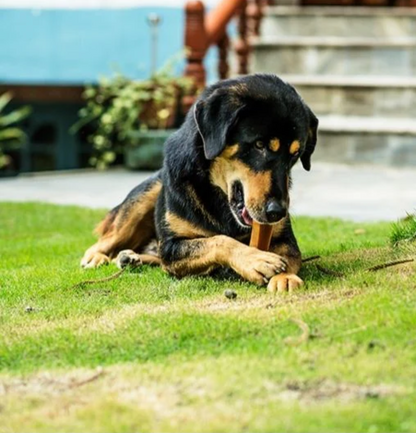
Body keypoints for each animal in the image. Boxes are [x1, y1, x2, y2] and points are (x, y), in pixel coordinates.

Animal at [79, 74, 316, 294]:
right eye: (259, 145)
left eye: (295, 155)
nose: (277, 212)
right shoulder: (172, 246)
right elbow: (218, 240)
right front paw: (255, 260)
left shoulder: (284, 238)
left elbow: (289, 255)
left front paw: (284, 276)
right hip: (144, 197)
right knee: (107, 239)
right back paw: (97, 257)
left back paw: (130, 257)